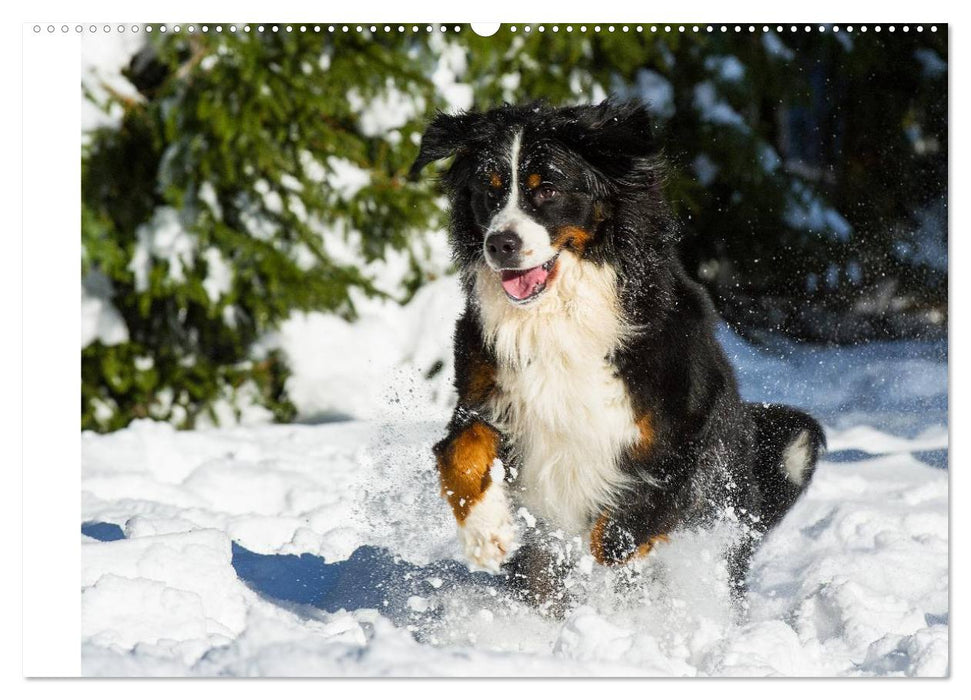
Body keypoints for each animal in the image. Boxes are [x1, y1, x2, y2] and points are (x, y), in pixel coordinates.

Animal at [410, 101, 828, 608]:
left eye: (547, 188)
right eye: (489, 190)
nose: (500, 244)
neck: (560, 315)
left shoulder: (689, 419)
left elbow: (648, 502)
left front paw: (615, 545)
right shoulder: (484, 394)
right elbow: (460, 451)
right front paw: (485, 533)